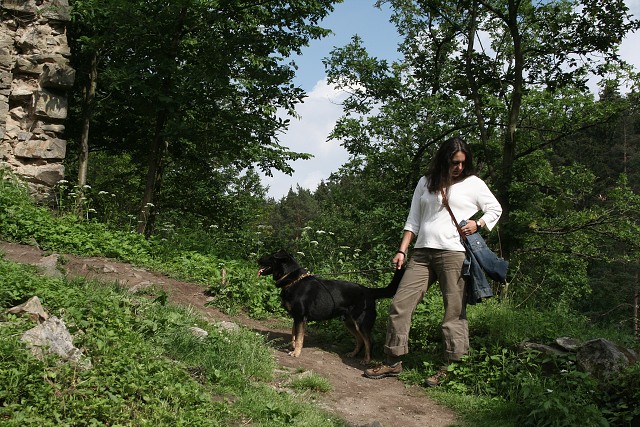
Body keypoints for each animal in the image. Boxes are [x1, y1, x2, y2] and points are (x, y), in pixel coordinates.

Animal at [258, 251, 402, 364]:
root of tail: (369, 291)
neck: (293, 280)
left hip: (361, 323)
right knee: (360, 341)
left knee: (369, 342)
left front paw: (296, 353)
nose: (258, 258)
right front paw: (292, 347)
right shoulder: (296, 317)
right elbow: (294, 335)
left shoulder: (300, 317)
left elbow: (299, 337)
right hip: (350, 323)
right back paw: (353, 354)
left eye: (271, 256)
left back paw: (366, 360)